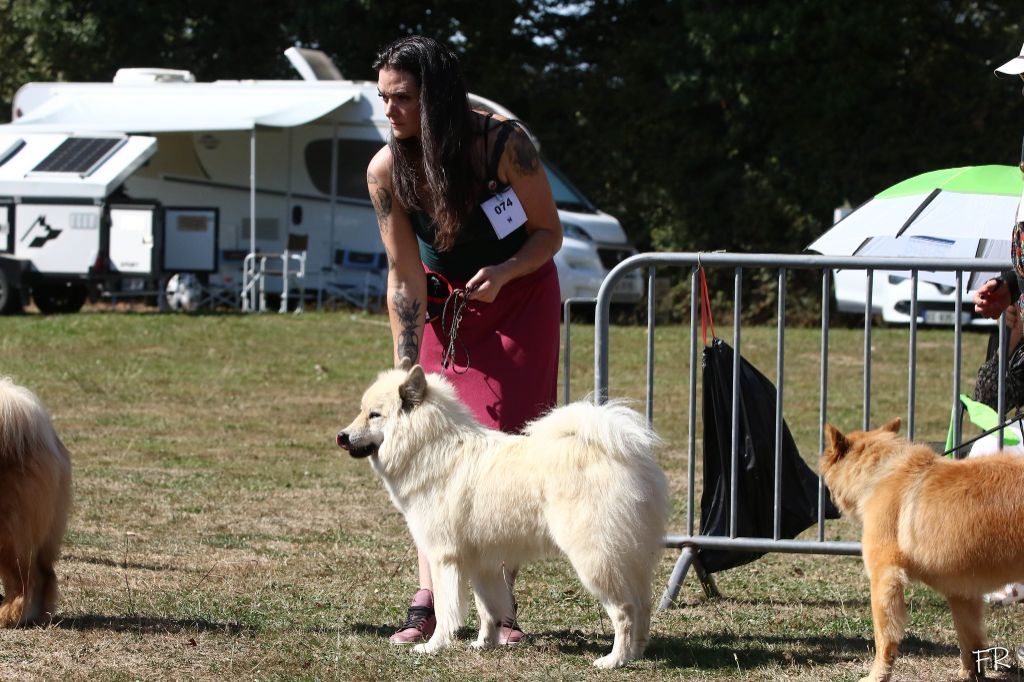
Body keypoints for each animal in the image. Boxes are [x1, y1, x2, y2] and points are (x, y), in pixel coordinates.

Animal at [337, 364, 671, 667]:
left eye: (374, 415)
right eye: (361, 411)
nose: (342, 436)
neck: (430, 448)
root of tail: (630, 460)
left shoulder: (444, 558)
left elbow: (446, 609)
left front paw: (434, 646)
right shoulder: (481, 562)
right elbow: (489, 609)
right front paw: (484, 644)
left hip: (595, 559)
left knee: (624, 611)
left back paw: (614, 660)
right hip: (631, 557)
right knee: (643, 606)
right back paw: (636, 654)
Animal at [819, 413, 1024, 679]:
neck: (881, 474)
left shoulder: (885, 578)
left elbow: (884, 638)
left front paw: (877, 675)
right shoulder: (962, 592)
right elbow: (970, 639)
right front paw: (970, 673)